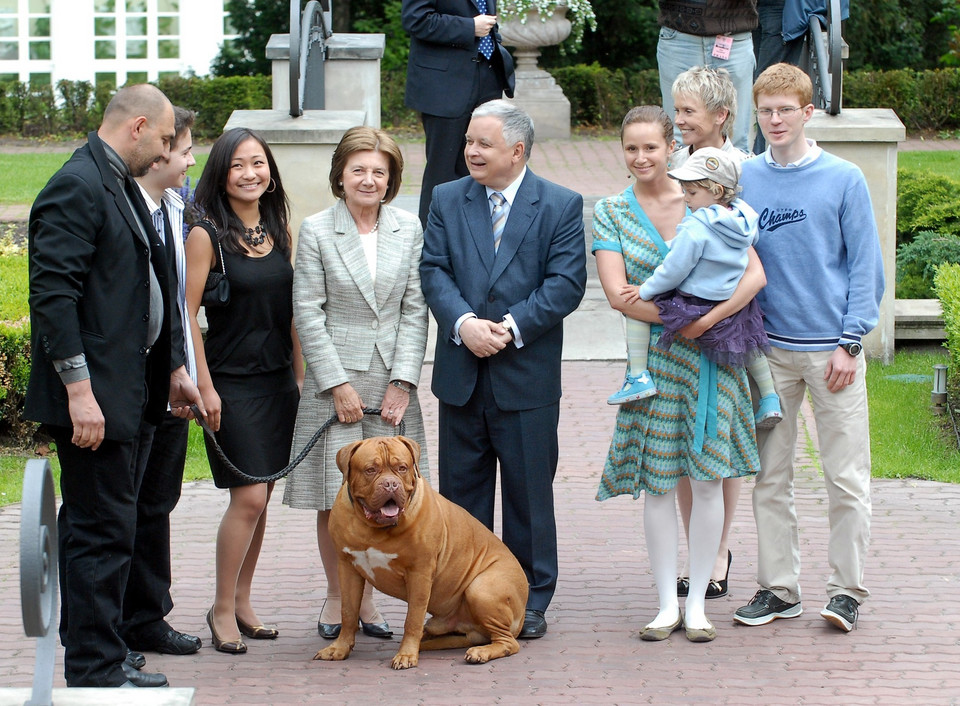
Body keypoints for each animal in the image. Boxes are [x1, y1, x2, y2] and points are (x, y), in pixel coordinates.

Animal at [314, 432, 524, 668]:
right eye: (370, 469)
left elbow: (412, 618)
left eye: (402, 468)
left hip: (481, 589)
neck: (373, 529)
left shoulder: (419, 574)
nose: (390, 484)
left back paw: (480, 652)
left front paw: (406, 655)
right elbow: (348, 612)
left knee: (508, 642)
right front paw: (339, 649)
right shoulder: (347, 568)